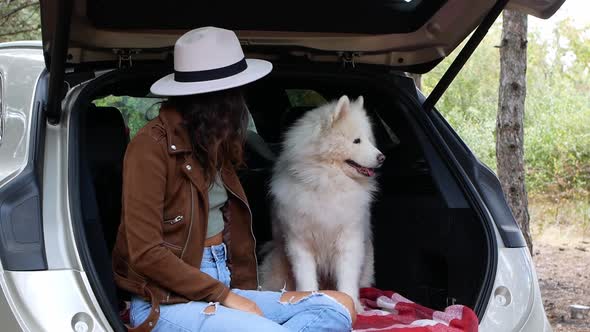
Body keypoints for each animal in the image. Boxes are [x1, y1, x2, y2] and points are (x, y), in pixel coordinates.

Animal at [260, 95, 384, 312]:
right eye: (356, 141)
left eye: (369, 139)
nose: (382, 157)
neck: (326, 182)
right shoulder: (300, 244)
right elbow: (306, 278)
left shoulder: (349, 241)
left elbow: (347, 279)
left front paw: (352, 305)